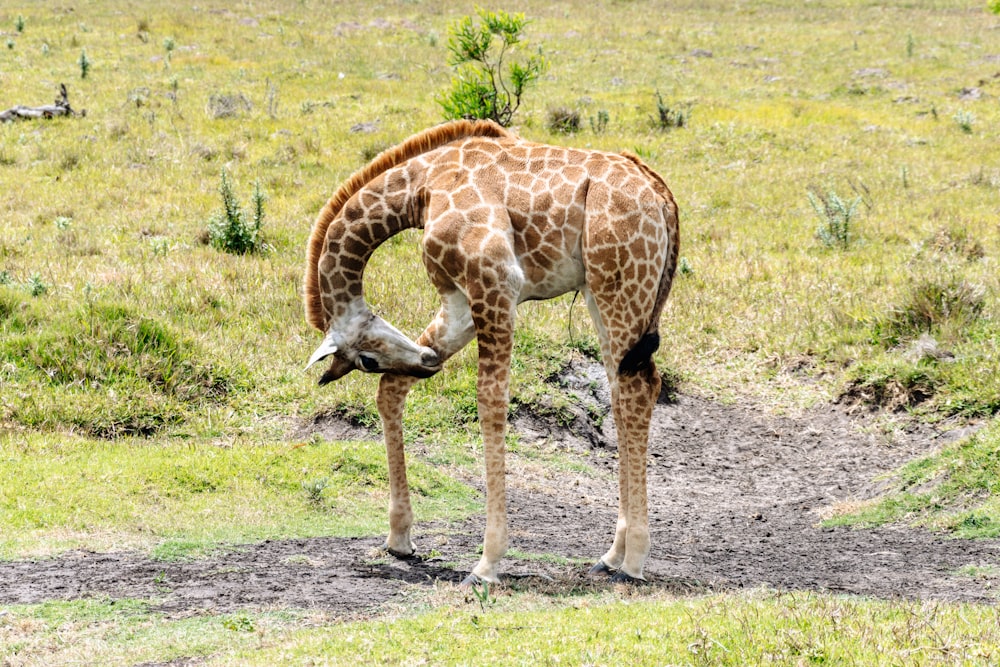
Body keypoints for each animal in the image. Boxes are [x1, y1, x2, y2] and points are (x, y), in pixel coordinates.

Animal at [304, 118, 680, 584]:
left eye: (366, 360)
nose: (426, 365)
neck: (421, 188)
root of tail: (661, 193)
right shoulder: (458, 299)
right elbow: (391, 389)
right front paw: (399, 538)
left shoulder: (496, 280)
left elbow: (490, 403)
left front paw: (487, 562)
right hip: (604, 291)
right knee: (623, 388)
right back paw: (612, 555)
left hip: (621, 284)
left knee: (638, 387)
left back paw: (633, 562)